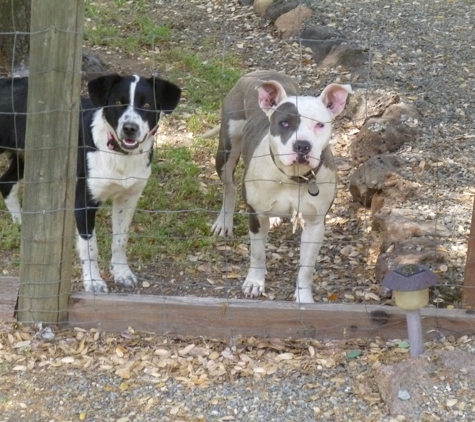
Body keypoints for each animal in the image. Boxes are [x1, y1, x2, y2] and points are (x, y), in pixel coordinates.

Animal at [0, 74, 182, 292]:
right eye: (118, 102)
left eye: (146, 104)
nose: (130, 129)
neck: (119, 155)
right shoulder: (83, 203)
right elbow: (90, 248)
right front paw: (94, 281)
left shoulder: (128, 198)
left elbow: (120, 239)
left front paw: (121, 273)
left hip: (28, 157)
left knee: (5, 183)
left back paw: (21, 220)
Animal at [212, 71, 354, 304]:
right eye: (285, 124)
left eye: (319, 125)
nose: (302, 146)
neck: (293, 178)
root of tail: (259, 73)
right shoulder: (256, 215)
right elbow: (258, 253)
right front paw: (255, 282)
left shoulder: (315, 224)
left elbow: (307, 267)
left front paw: (303, 297)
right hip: (226, 149)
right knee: (229, 186)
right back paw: (224, 221)